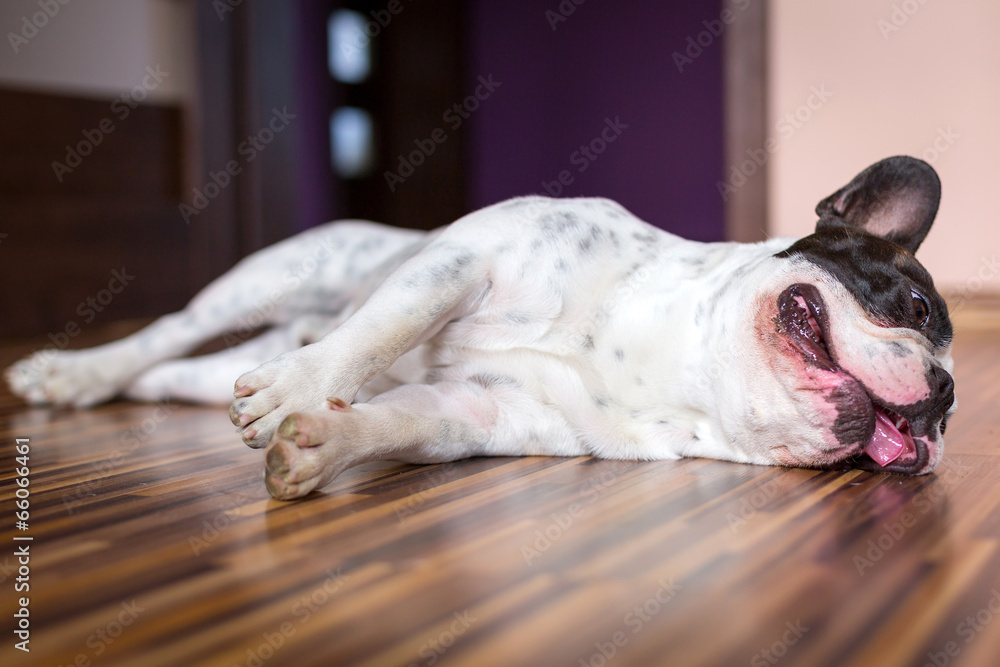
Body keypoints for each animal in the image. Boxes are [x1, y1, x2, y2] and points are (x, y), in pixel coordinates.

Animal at [5, 158, 952, 500]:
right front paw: (308, 391)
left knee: (173, 374)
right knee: (169, 329)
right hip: (284, 270)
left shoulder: (481, 412)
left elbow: (397, 417)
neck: (684, 359)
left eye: (948, 417)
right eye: (914, 308)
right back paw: (72, 373)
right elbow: (381, 333)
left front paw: (321, 442)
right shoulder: (462, 262)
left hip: (226, 360)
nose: (941, 397)